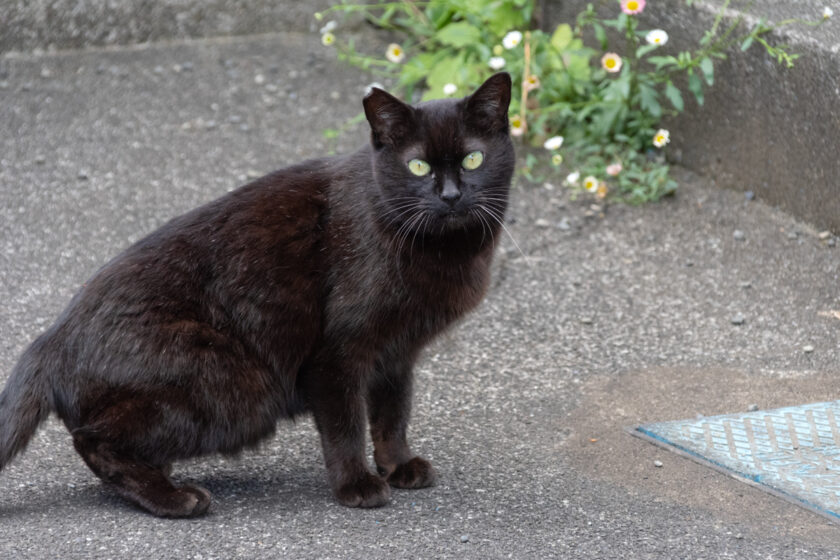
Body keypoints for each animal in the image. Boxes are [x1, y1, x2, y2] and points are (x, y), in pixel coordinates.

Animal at [0, 73, 512, 516]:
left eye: (472, 160)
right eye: (418, 166)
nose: (450, 196)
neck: (440, 249)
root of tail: (51, 339)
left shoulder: (396, 354)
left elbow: (393, 415)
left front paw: (398, 465)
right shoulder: (339, 355)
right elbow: (346, 424)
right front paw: (358, 485)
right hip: (236, 385)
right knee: (92, 440)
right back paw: (176, 498)